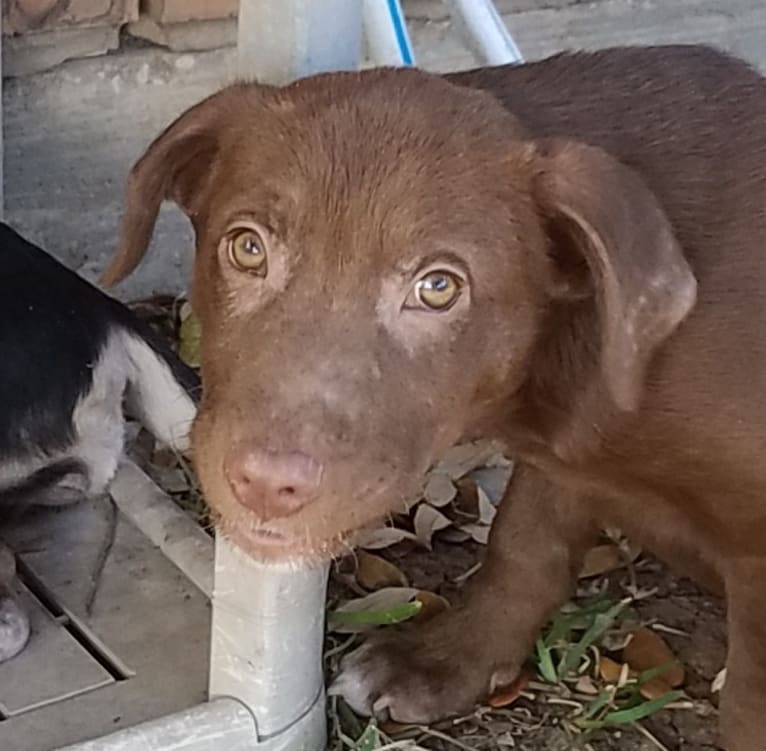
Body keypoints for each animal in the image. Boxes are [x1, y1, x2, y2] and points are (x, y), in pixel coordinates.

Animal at [102, 47, 766, 751]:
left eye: (439, 287)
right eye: (247, 247)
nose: (264, 484)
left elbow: (749, 705)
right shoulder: (568, 456)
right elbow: (524, 544)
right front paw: (443, 663)